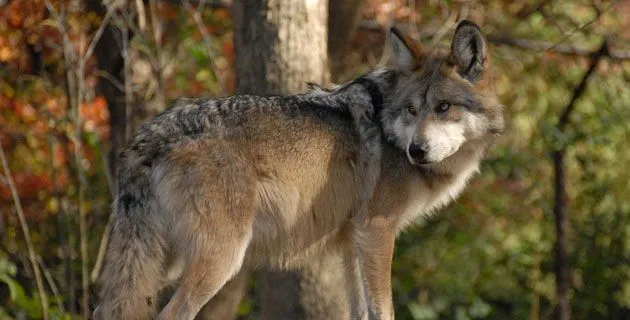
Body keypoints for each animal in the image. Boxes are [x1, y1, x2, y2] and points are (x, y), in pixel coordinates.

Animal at [95, 20, 508, 320]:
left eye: (443, 108)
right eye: (412, 110)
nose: (416, 151)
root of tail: (151, 134)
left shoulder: (352, 240)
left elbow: (360, 311)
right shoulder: (378, 231)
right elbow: (383, 310)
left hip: (159, 263)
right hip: (220, 260)